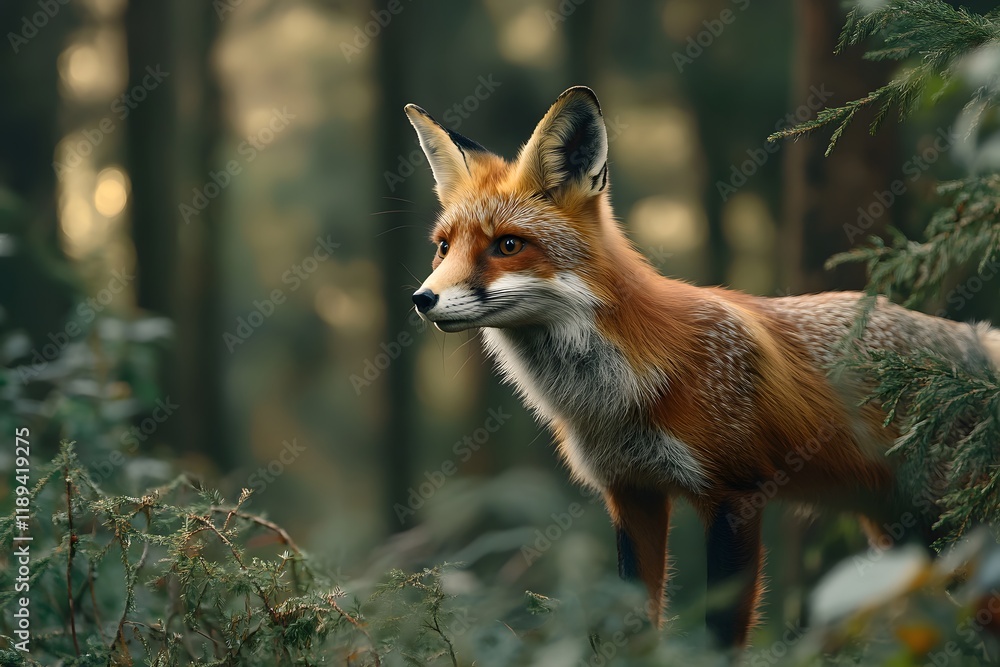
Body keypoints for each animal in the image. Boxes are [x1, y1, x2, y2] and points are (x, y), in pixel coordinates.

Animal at [404, 86, 1000, 649]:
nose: (422, 299)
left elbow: (720, 634)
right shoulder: (632, 493)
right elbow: (636, 628)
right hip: (903, 532)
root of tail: (974, 342)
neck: (622, 394)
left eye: (508, 245)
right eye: (443, 248)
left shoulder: (736, 495)